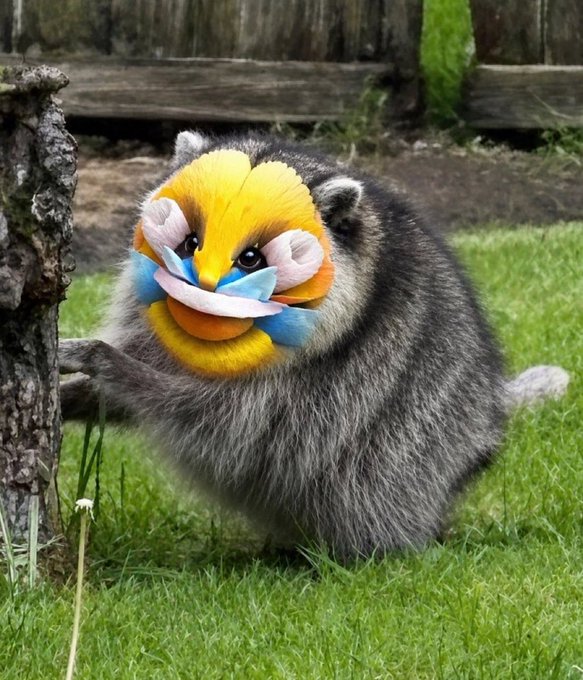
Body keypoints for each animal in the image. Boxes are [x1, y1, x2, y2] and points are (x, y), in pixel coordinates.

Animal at [59, 131, 569, 559]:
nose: (199, 287)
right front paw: (76, 393)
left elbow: (212, 418)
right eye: (189, 240)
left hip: (419, 451)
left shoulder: (312, 385)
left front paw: (108, 361)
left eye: (252, 258)